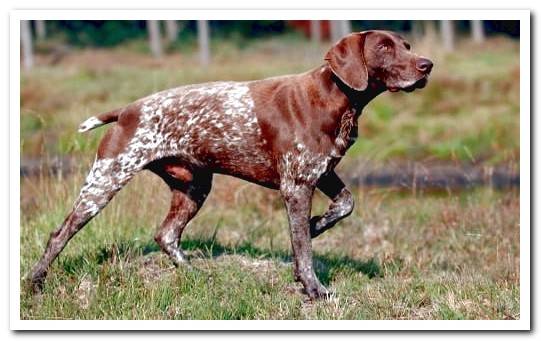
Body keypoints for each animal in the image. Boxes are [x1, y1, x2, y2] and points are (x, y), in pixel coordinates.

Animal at [30, 30, 434, 298]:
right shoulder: (297, 186)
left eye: (407, 46)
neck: (336, 96)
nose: (427, 65)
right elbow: (303, 249)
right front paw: (313, 287)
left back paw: (194, 273)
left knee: (166, 235)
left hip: (194, 187)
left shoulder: (323, 171)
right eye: (384, 47)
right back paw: (35, 281)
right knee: (59, 234)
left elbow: (345, 204)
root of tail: (128, 110)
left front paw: (318, 224)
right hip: (104, 183)